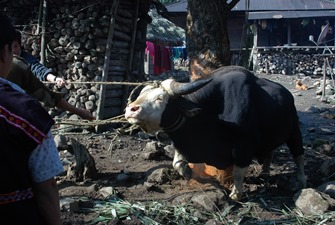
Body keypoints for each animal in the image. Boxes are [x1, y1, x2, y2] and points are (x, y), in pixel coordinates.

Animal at [125, 66, 308, 200]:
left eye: (160, 98)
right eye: (141, 94)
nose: (130, 109)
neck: (210, 115)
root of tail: (287, 95)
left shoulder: (244, 148)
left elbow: (238, 173)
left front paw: (236, 194)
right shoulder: (184, 143)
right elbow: (177, 163)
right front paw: (190, 174)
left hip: (294, 131)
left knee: (298, 154)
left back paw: (301, 179)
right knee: (270, 153)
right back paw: (264, 174)